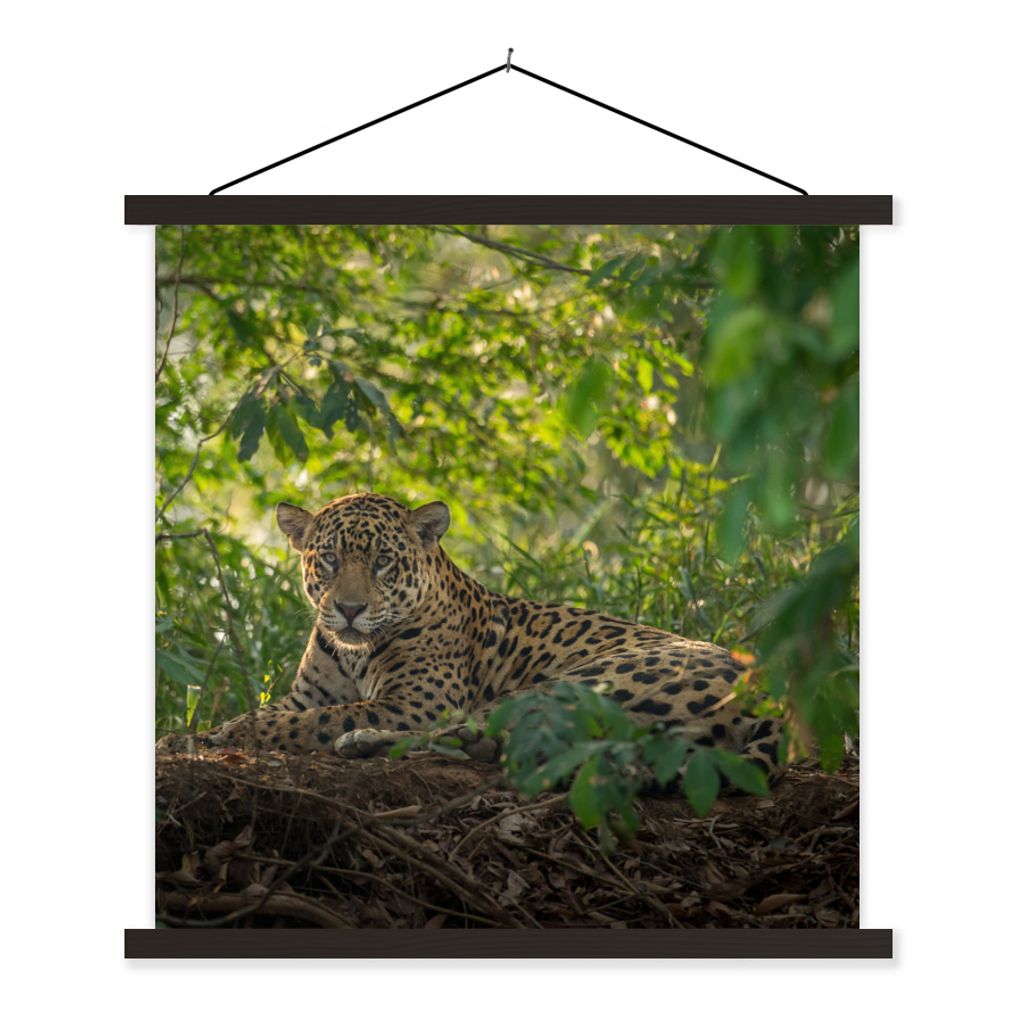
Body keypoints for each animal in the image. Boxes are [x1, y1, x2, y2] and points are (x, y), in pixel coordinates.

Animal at [161, 492, 786, 786]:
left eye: (383, 562)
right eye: (331, 559)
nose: (350, 609)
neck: (354, 653)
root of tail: (765, 696)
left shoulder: (416, 701)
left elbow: (302, 722)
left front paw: (223, 737)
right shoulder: (305, 694)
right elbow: (278, 710)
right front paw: (193, 734)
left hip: (579, 683)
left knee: (475, 735)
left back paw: (361, 741)